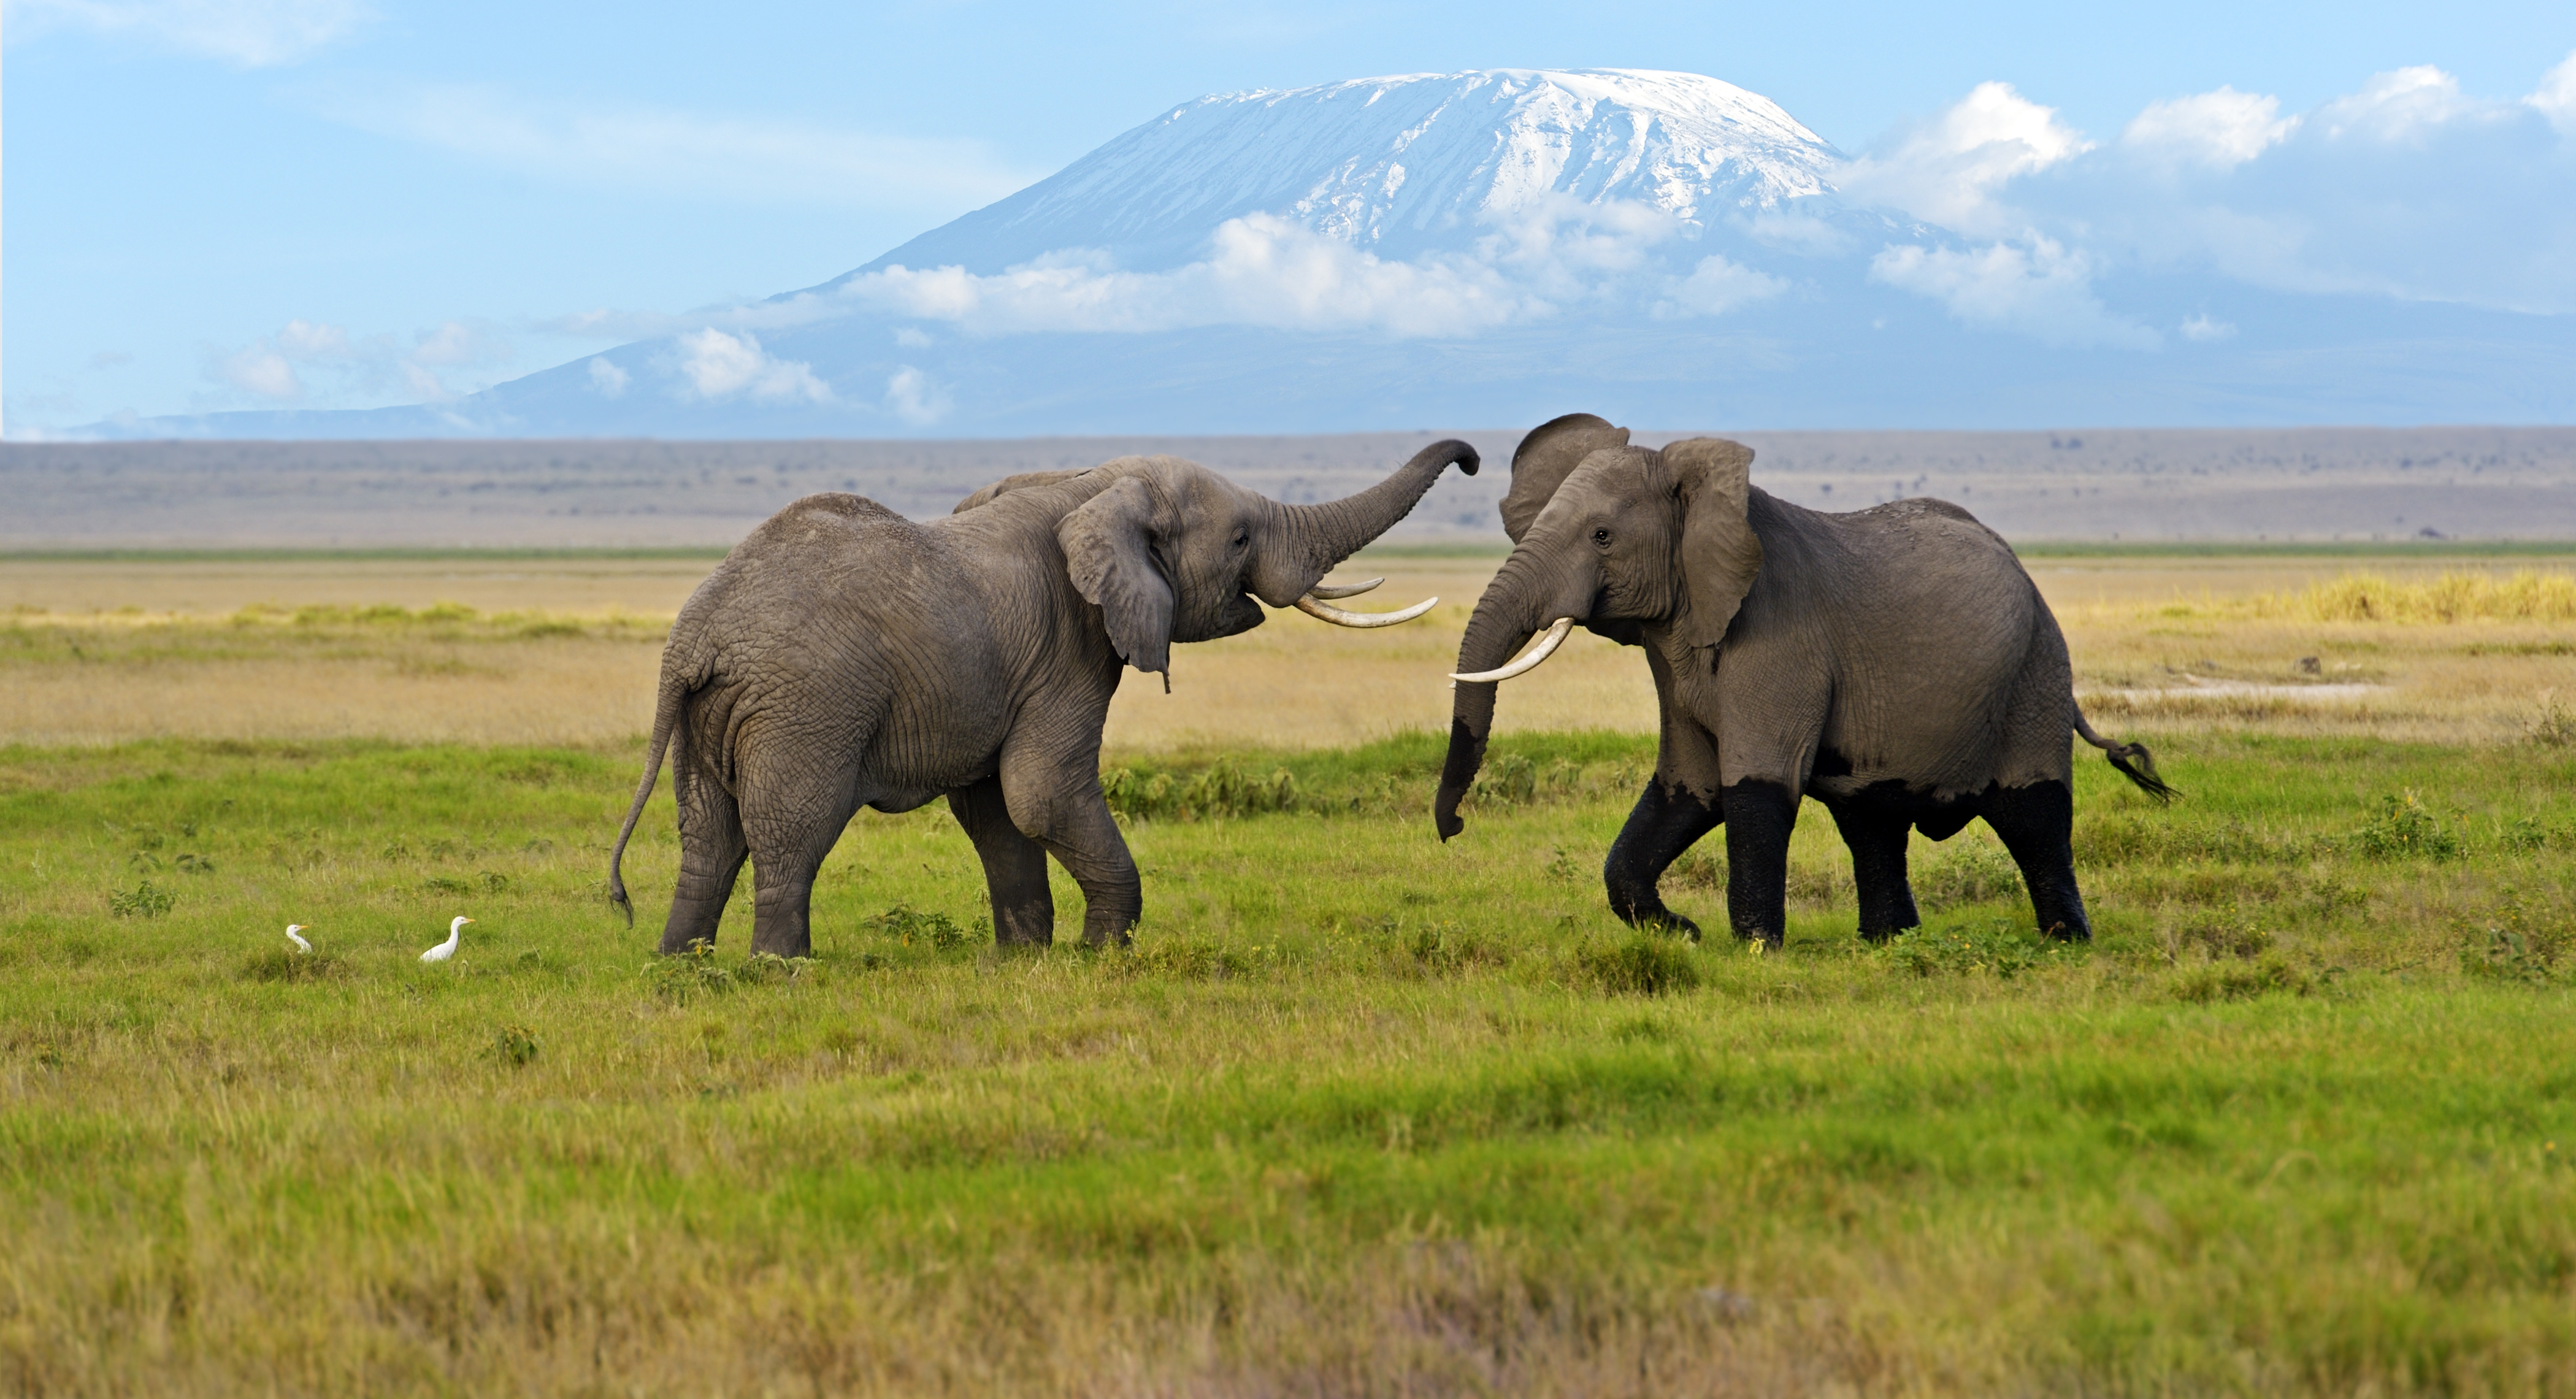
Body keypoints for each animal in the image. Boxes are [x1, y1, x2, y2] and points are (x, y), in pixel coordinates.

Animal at [605, 443, 1484, 958]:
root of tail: (694, 639)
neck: (1091, 483)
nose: (1474, 459)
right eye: (1238, 540)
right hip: (806, 708)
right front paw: (1104, 954)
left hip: (712, 714)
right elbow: (1043, 792)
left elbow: (995, 809)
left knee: (708, 834)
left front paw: (1024, 959)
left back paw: (684, 965)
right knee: (792, 830)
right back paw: (782, 969)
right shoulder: (1069, 645)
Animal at [1443, 409, 2163, 948]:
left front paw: (1752, 951)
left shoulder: (1780, 638)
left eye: (1601, 536)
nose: (1452, 828)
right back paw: (1888, 944)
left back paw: (2067, 943)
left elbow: (1757, 787)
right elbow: (1689, 787)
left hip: (2036, 670)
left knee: (2034, 816)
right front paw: (1685, 934)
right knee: (1872, 822)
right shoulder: (1673, 647)